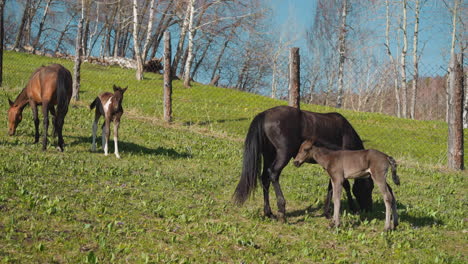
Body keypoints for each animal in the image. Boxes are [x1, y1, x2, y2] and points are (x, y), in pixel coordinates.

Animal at [233, 105, 372, 223]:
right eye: (369, 188)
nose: (368, 209)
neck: (346, 134)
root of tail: (264, 114)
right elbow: (345, 185)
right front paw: (352, 207)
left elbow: (331, 187)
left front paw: (327, 212)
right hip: (284, 153)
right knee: (273, 174)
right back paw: (281, 211)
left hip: (269, 154)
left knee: (265, 179)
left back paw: (269, 213)